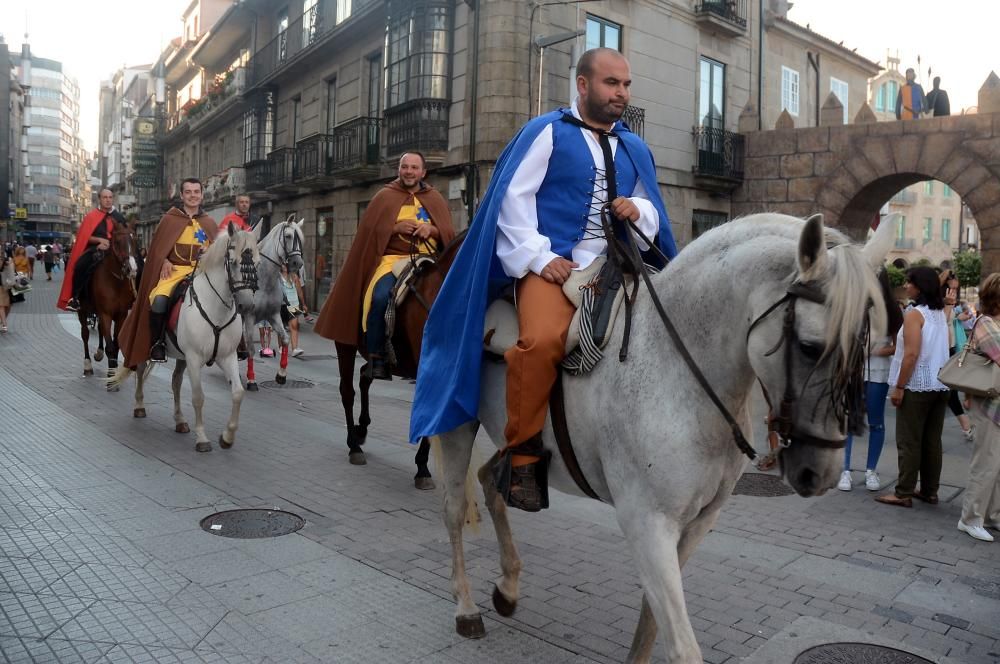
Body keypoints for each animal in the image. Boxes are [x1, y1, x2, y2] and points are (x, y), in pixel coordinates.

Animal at [79, 223, 138, 390]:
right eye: (117, 242)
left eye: (135, 240)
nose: (132, 269)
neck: (114, 281)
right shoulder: (105, 313)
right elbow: (110, 346)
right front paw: (111, 378)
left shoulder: (121, 314)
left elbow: (116, 344)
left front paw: (113, 374)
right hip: (82, 310)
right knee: (85, 334)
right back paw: (87, 365)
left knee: (99, 330)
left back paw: (99, 353)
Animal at [112, 226, 260, 454]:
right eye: (234, 262)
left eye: (258, 263)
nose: (247, 306)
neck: (215, 308)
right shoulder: (194, 358)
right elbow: (198, 397)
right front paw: (202, 439)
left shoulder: (227, 357)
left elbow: (237, 393)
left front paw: (227, 437)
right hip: (145, 344)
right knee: (140, 370)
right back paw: (139, 406)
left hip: (181, 356)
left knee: (175, 382)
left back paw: (180, 420)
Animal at [242, 218, 304, 392]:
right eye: (288, 236)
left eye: (300, 239)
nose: (297, 263)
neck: (264, 280)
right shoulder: (249, 317)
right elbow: (251, 348)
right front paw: (251, 380)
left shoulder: (274, 315)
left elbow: (285, 339)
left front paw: (281, 375)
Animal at [332, 231, 464, 490]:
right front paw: (422, 468)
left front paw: (423, 468)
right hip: (345, 346)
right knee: (347, 392)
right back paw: (354, 445)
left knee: (365, 376)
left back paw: (361, 429)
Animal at [434, 214, 896, 664]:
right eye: (809, 347)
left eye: (866, 347)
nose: (820, 474)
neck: (676, 367)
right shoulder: (647, 522)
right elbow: (681, 645)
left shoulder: (696, 523)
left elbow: (652, 621)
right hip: (456, 425)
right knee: (455, 510)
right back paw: (466, 608)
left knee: (491, 480)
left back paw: (507, 587)